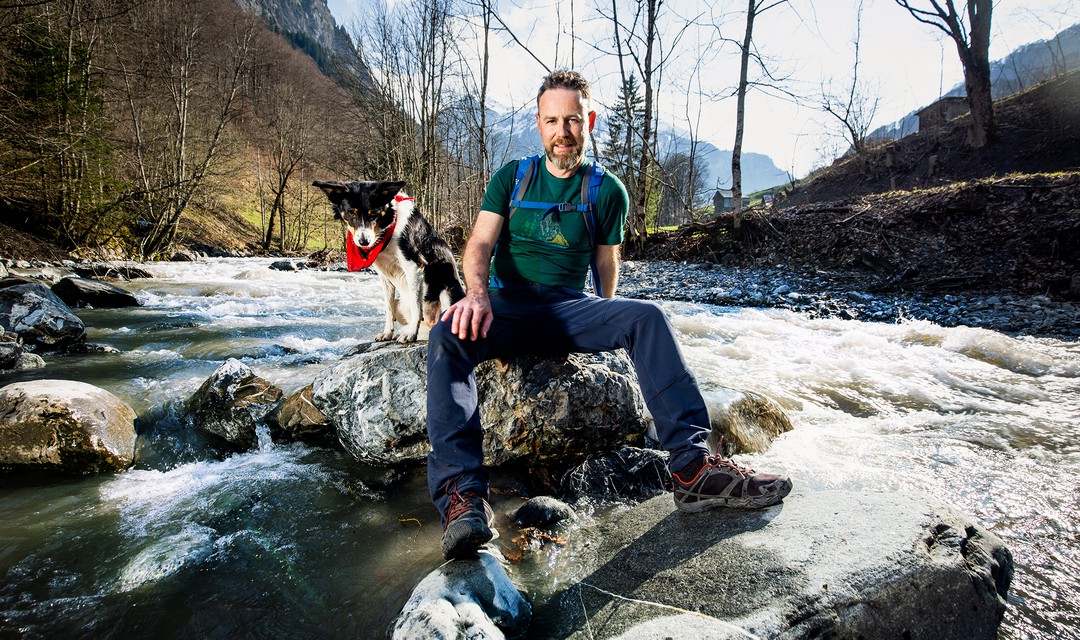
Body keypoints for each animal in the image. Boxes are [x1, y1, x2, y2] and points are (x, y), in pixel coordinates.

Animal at [313, 179, 464, 341]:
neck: (387, 227)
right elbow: (388, 307)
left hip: (447, 292)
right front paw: (387, 333)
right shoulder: (383, 274)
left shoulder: (413, 266)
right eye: (351, 212)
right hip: (401, 303)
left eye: (374, 213)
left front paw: (411, 333)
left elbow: (416, 306)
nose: (364, 242)